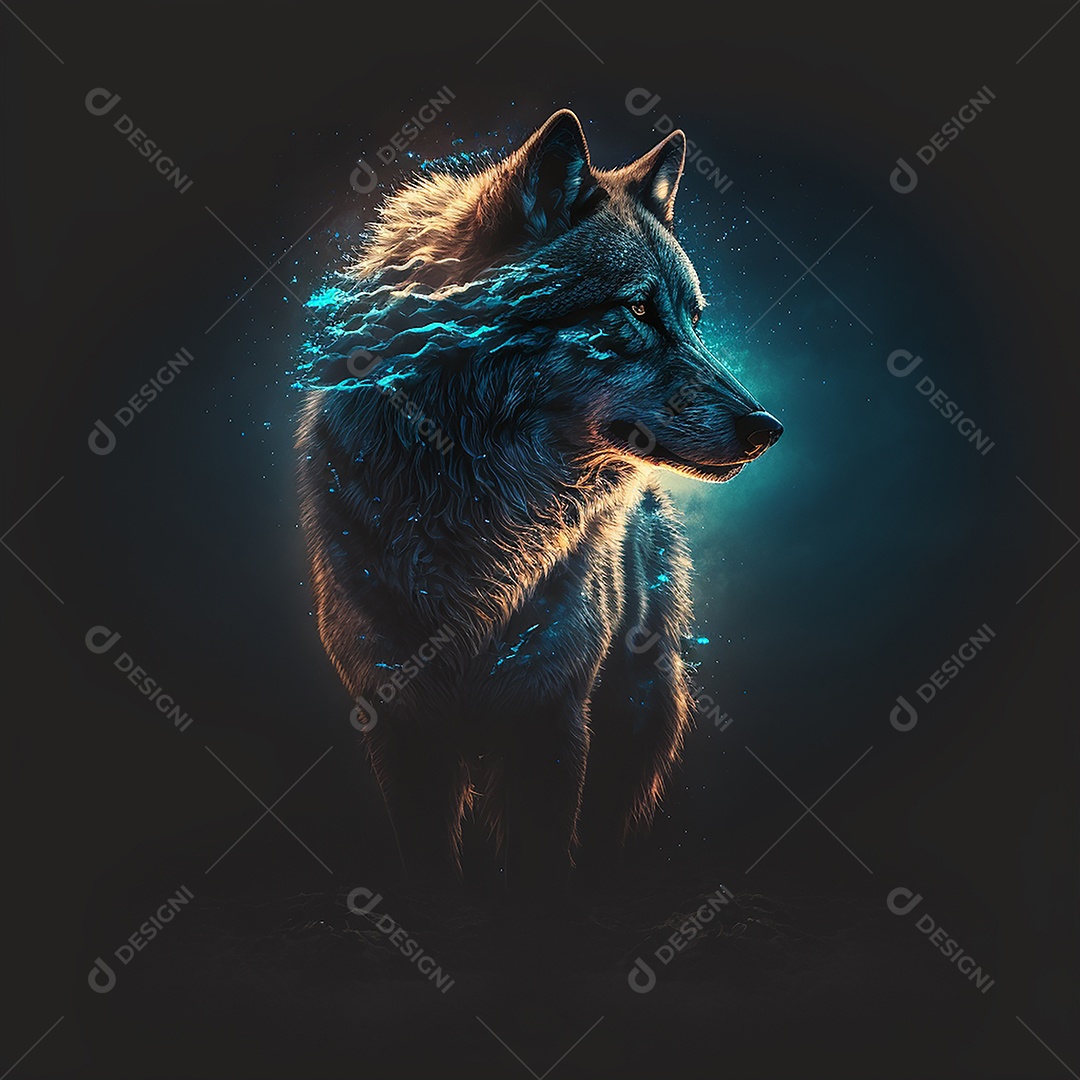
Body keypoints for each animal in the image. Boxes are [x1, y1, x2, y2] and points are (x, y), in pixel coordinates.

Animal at [296, 109, 782, 890]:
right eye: (637, 309)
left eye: (694, 318)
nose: (767, 428)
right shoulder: (400, 727)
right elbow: (428, 857)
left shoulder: (551, 719)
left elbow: (539, 856)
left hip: (637, 711)